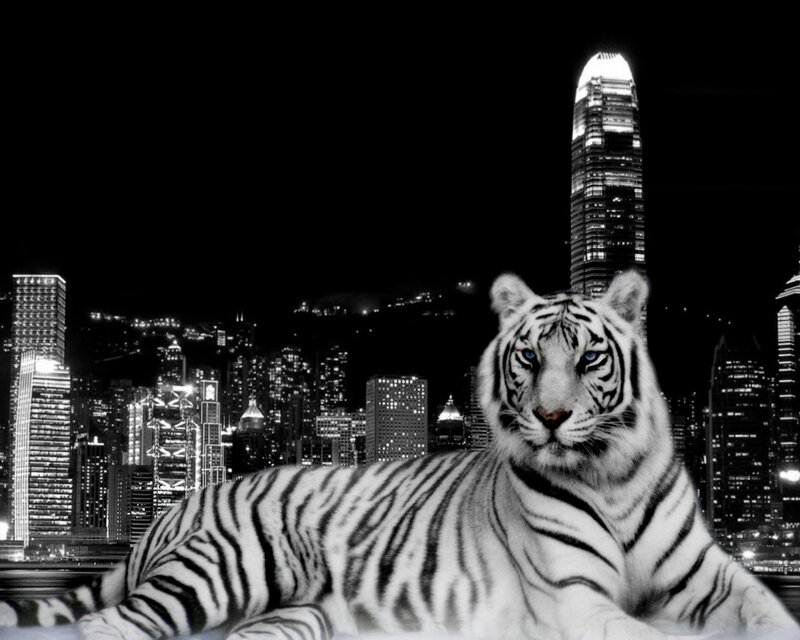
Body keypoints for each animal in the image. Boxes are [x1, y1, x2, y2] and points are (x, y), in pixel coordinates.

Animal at [1, 270, 797, 639]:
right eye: (530, 358)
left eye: (588, 358)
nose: (549, 418)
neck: (612, 474)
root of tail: (180, 504)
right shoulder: (573, 596)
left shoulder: (716, 577)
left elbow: (769, 613)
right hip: (227, 568)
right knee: (108, 626)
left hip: (299, 616)